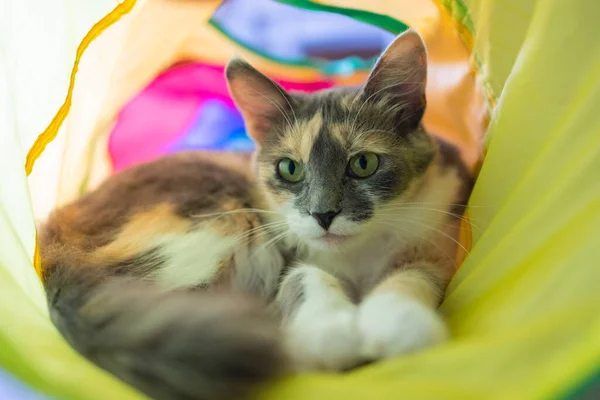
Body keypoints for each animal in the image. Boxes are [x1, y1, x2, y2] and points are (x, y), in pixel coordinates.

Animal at [41, 29, 474, 400]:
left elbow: (412, 276)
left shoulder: (438, 238)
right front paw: (333, 335)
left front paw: (399, 326)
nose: (323, 214)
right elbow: (307, 277)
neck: (355, 258)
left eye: (363, 163)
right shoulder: (284, 259)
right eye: (290, 169)